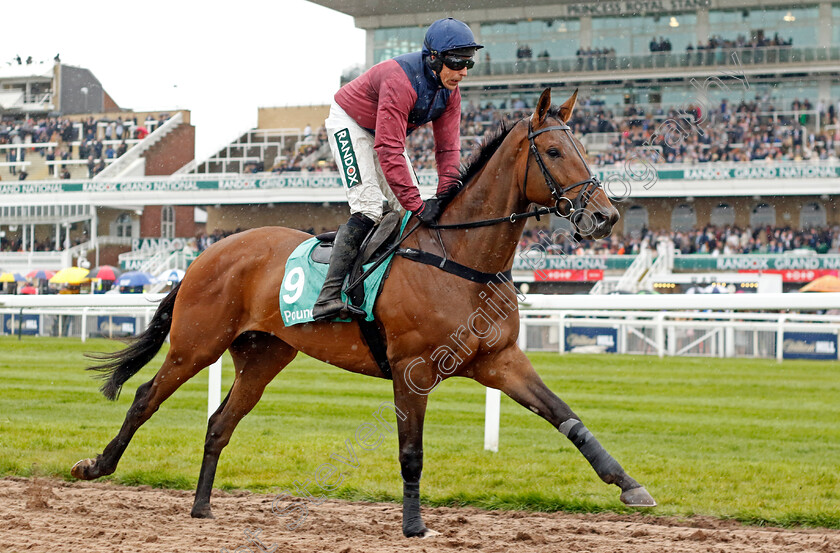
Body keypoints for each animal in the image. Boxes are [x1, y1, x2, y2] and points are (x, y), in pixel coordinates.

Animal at [74, 89, 656, 536]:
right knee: (146, 397)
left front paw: (629, 484)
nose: (605, 216)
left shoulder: (500, 360)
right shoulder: (412, 369)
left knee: (219, 423)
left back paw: (201, 506)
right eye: (554, 151)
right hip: (197, 343)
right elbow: (411, 451)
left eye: (582, 148)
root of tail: (204, 253)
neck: (460, 258)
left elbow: (565, 415)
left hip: (263, 356)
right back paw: (96, 465)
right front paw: (414, 524)